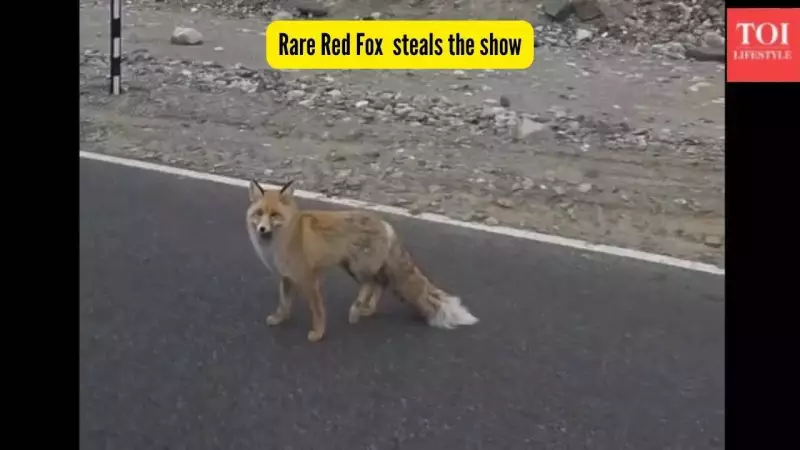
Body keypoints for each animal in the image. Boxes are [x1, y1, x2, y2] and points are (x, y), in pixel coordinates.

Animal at [246, 179, 479, 342]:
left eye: (275, 215)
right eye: (259, 213)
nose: (262, 229)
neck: (283, 240)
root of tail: (385, 223)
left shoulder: (310, 279)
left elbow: (318, 311)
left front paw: (318, 334)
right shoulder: (286, 278)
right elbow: (283, 304)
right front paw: (279, 319)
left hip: (357, 267)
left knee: (373, 283)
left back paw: (357, 309)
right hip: (351, 266)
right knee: (379, 284)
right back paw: (365, 309)